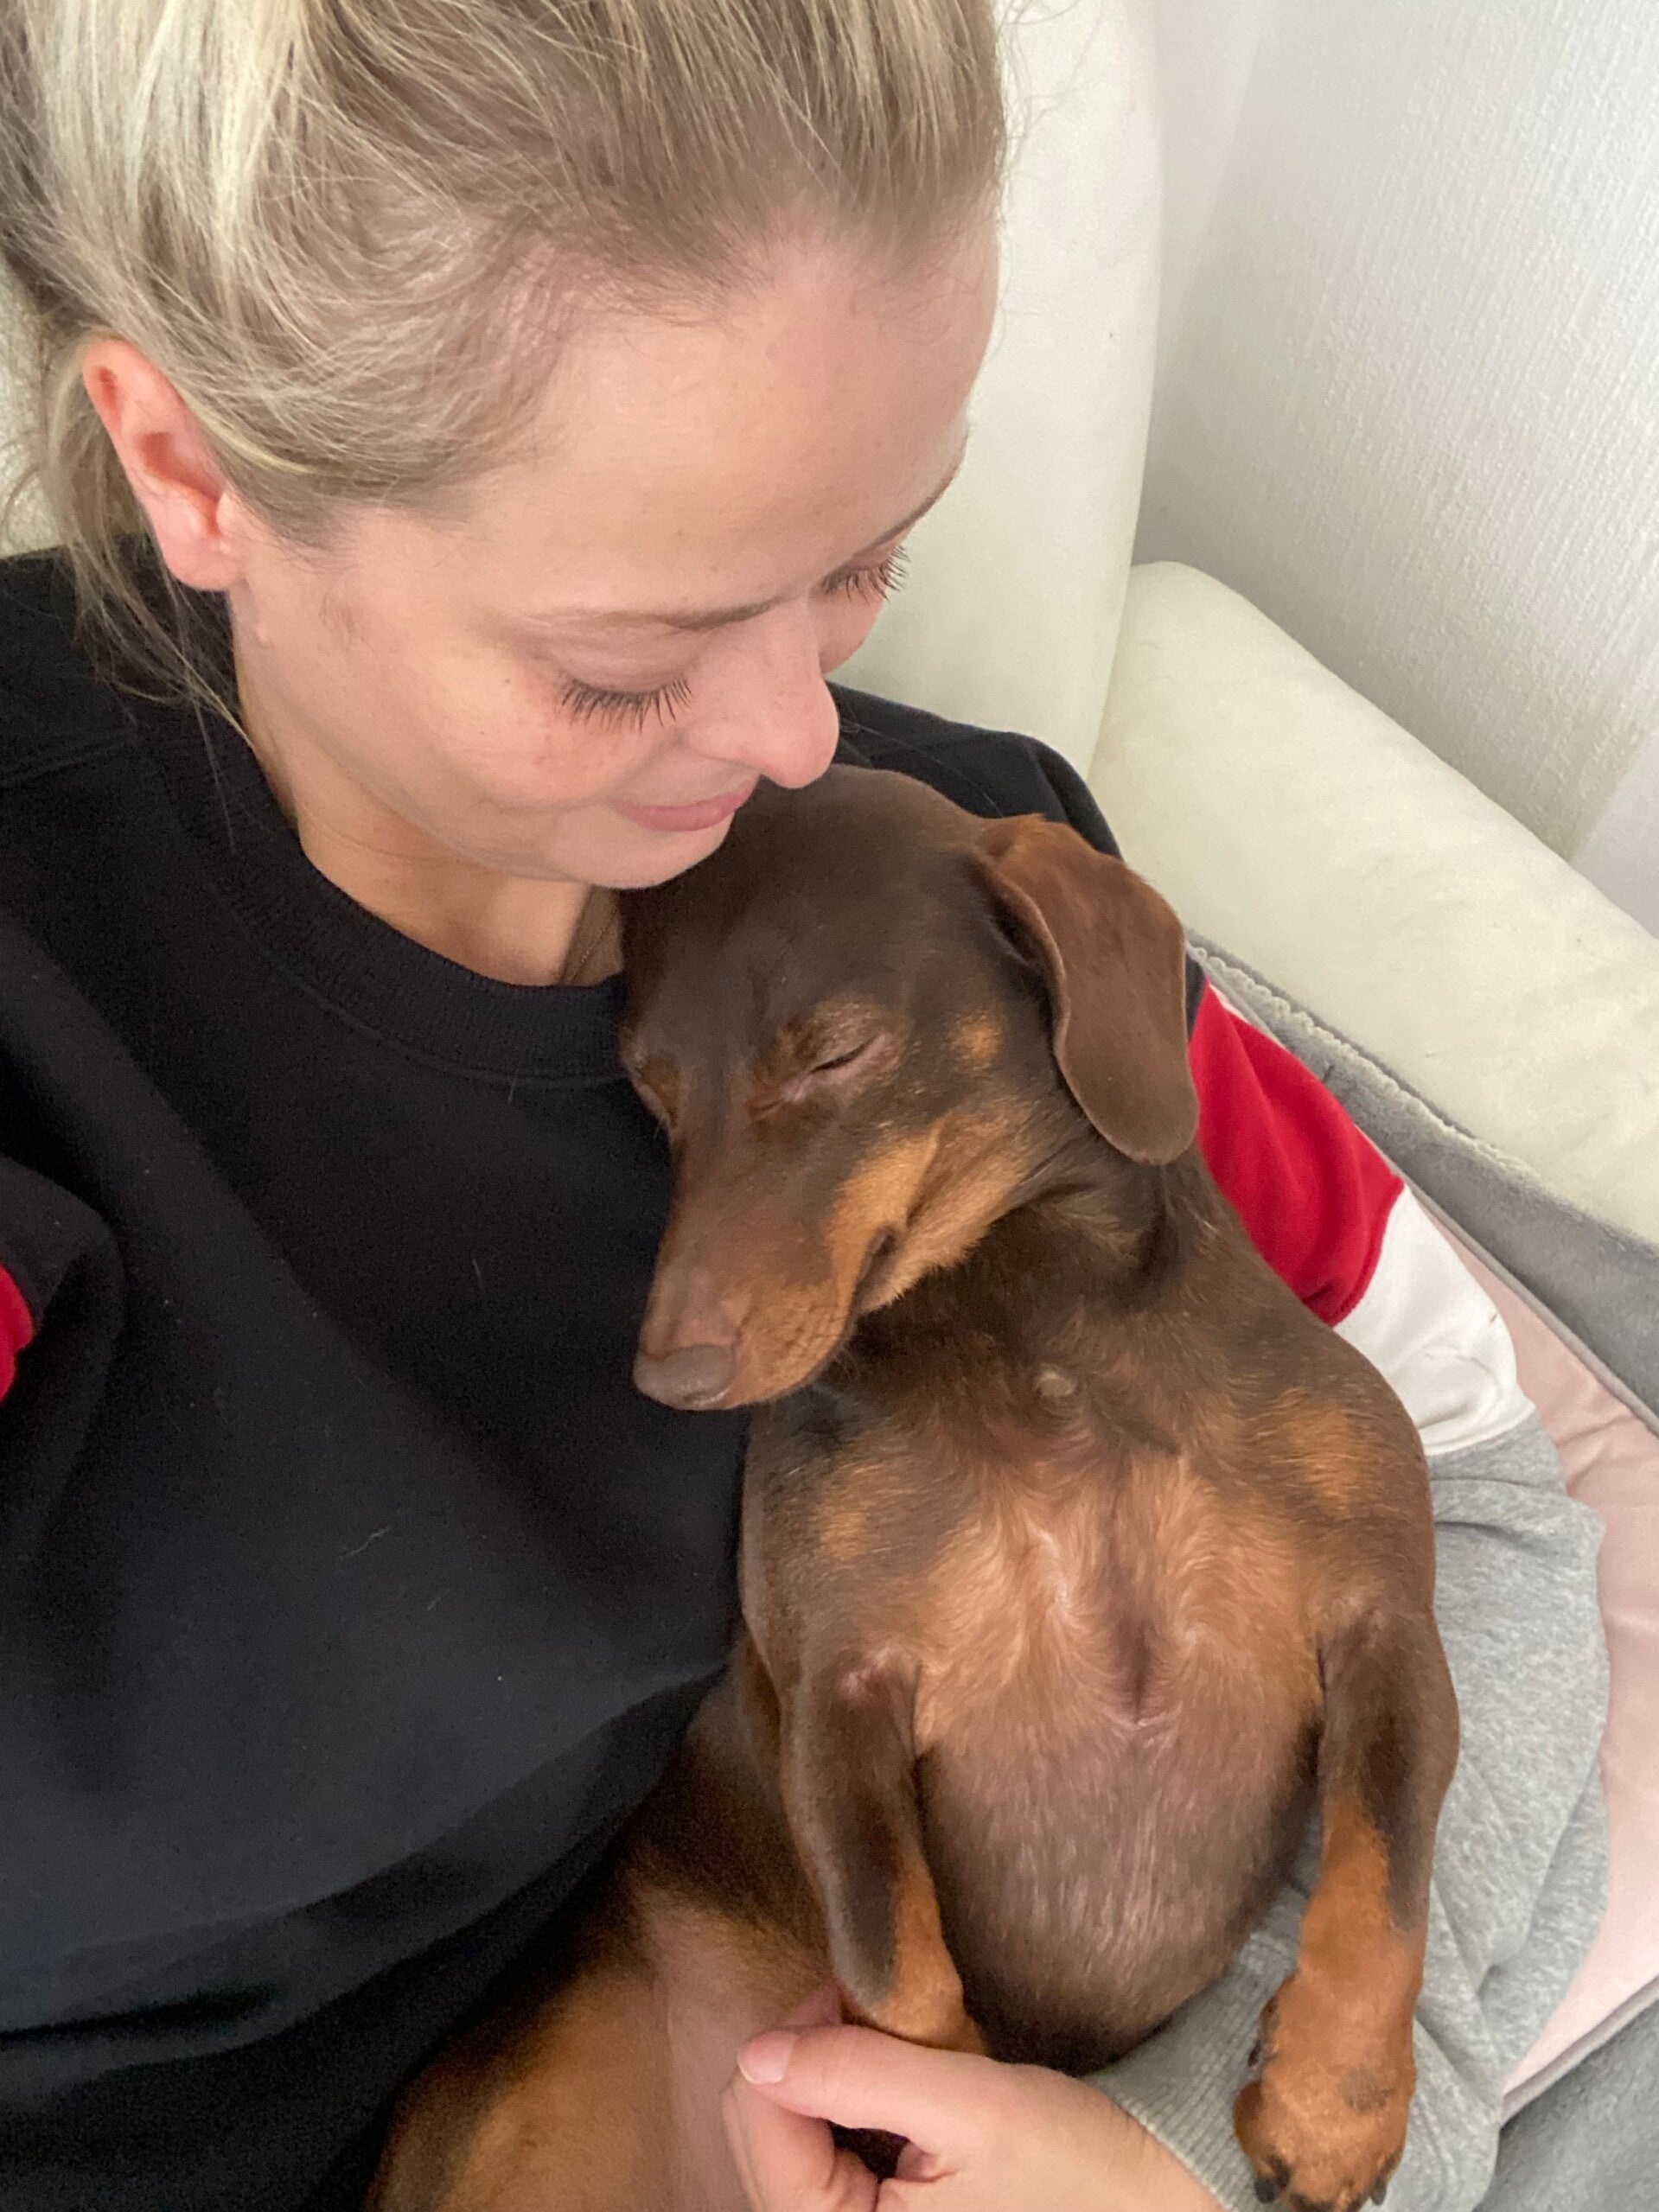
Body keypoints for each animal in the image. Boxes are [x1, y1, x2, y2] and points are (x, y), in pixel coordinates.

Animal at [368, 765, 1458, 2212]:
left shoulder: (1385, 1620)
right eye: (654, 1093)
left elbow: (1384, 1867)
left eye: (831, 1055)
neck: (1018, 1317)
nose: (671, 1374)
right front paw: (921, 2107)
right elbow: (891, 1966)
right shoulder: (834, 1693)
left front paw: (1331, 2099)